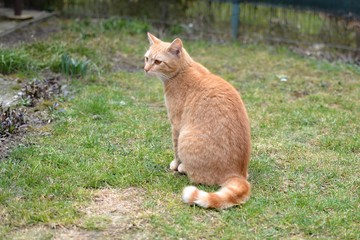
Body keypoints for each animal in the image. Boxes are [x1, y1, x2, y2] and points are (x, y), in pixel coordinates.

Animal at [143, 32, 250, 209]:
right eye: (146, 58)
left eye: (157, 62)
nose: (145, 69)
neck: (183, 70)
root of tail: (237, 174)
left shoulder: (176, 125)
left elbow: (175, 149)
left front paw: (175, 164)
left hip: (186, 137)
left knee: (197, 177)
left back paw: (183, 167)